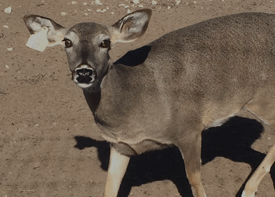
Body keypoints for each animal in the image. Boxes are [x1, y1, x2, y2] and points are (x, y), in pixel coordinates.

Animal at [22, 8, 275, 197]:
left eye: (105, 42)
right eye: (67, 42)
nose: (84, 72)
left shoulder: (189, 128)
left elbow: (194, 180)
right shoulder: (119, 145)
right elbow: (109, 187)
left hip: (263, 99)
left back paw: (247, 191)